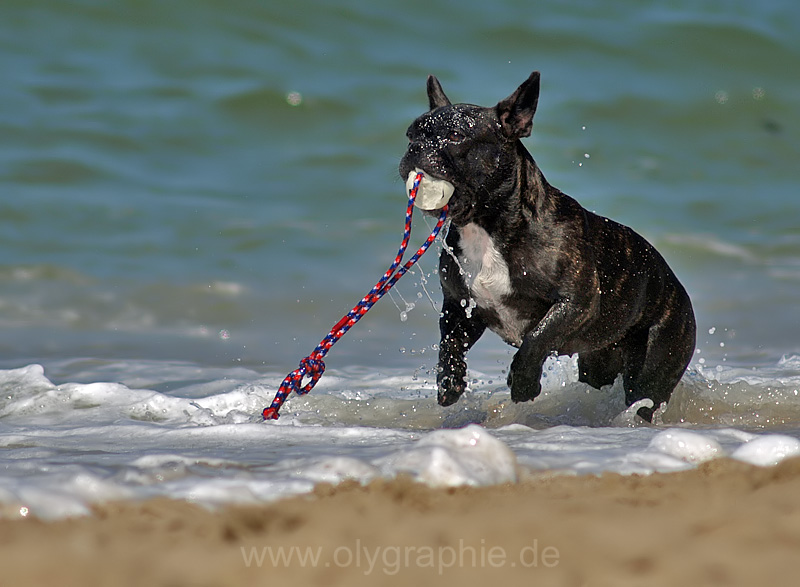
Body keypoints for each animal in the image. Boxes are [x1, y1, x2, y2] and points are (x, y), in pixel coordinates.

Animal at [400, 72, 692, 422]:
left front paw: (523, 382)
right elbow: (450, 345)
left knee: (643, 397)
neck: (486, 228)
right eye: (410, 134)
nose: (416, 148)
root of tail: (677, 289)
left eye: (456, 136)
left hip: (655, 362)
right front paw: (450, 382)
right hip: (599, 364)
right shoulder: (459, 306)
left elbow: (537, 338)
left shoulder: (576, 303)